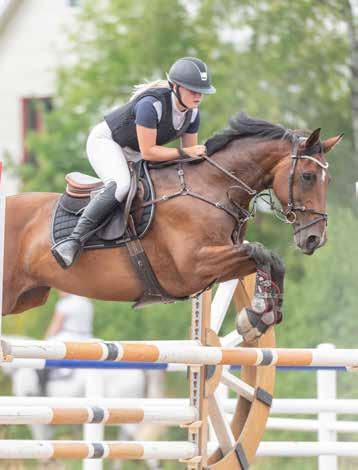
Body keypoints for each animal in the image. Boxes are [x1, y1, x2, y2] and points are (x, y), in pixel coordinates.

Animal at [2, 112, 342, 336]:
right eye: (307, 176)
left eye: (329, 181)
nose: (315, 239)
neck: (212, 186)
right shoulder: (194, 266)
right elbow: (260, 252)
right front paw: (257, 312)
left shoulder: (218, 265)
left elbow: (271, 260)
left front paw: (259, 318)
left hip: (25, 297)